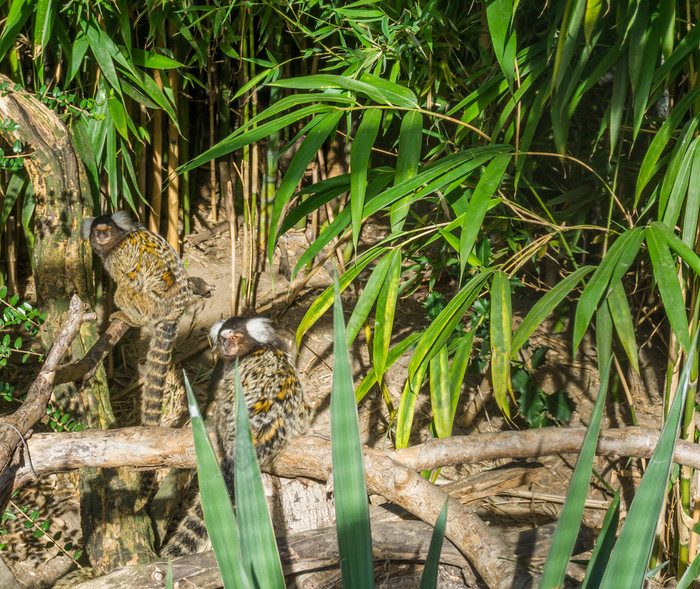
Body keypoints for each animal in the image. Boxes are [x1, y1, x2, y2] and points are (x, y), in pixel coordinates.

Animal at [81, 209, 191, 424]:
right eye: (97, 231)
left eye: (107, 230)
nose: (102, 236)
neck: (119, 239)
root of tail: (175, 311)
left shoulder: (118, 257)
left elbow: (128, 278)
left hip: (152, 302)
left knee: (125, 287)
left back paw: (132, 318)